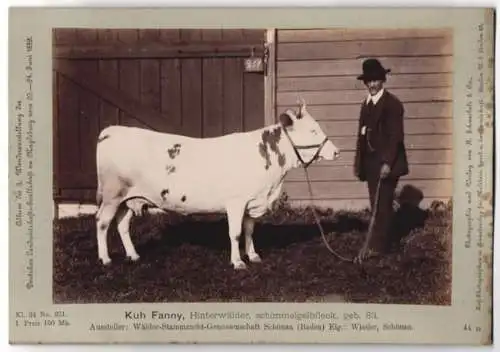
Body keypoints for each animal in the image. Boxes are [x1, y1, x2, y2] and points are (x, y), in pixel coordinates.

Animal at [94, 100, 340, 270]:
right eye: (313, 130)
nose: (337, 151)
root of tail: (111, 130)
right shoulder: (236, 202)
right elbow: (235, 233)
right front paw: (238, 262)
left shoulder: (253, 201)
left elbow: (249, 230)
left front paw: (253, 256)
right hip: (112, 195)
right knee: (102, 223)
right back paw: (105, 259)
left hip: (129, 198)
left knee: (122, 224)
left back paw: (133, 255)